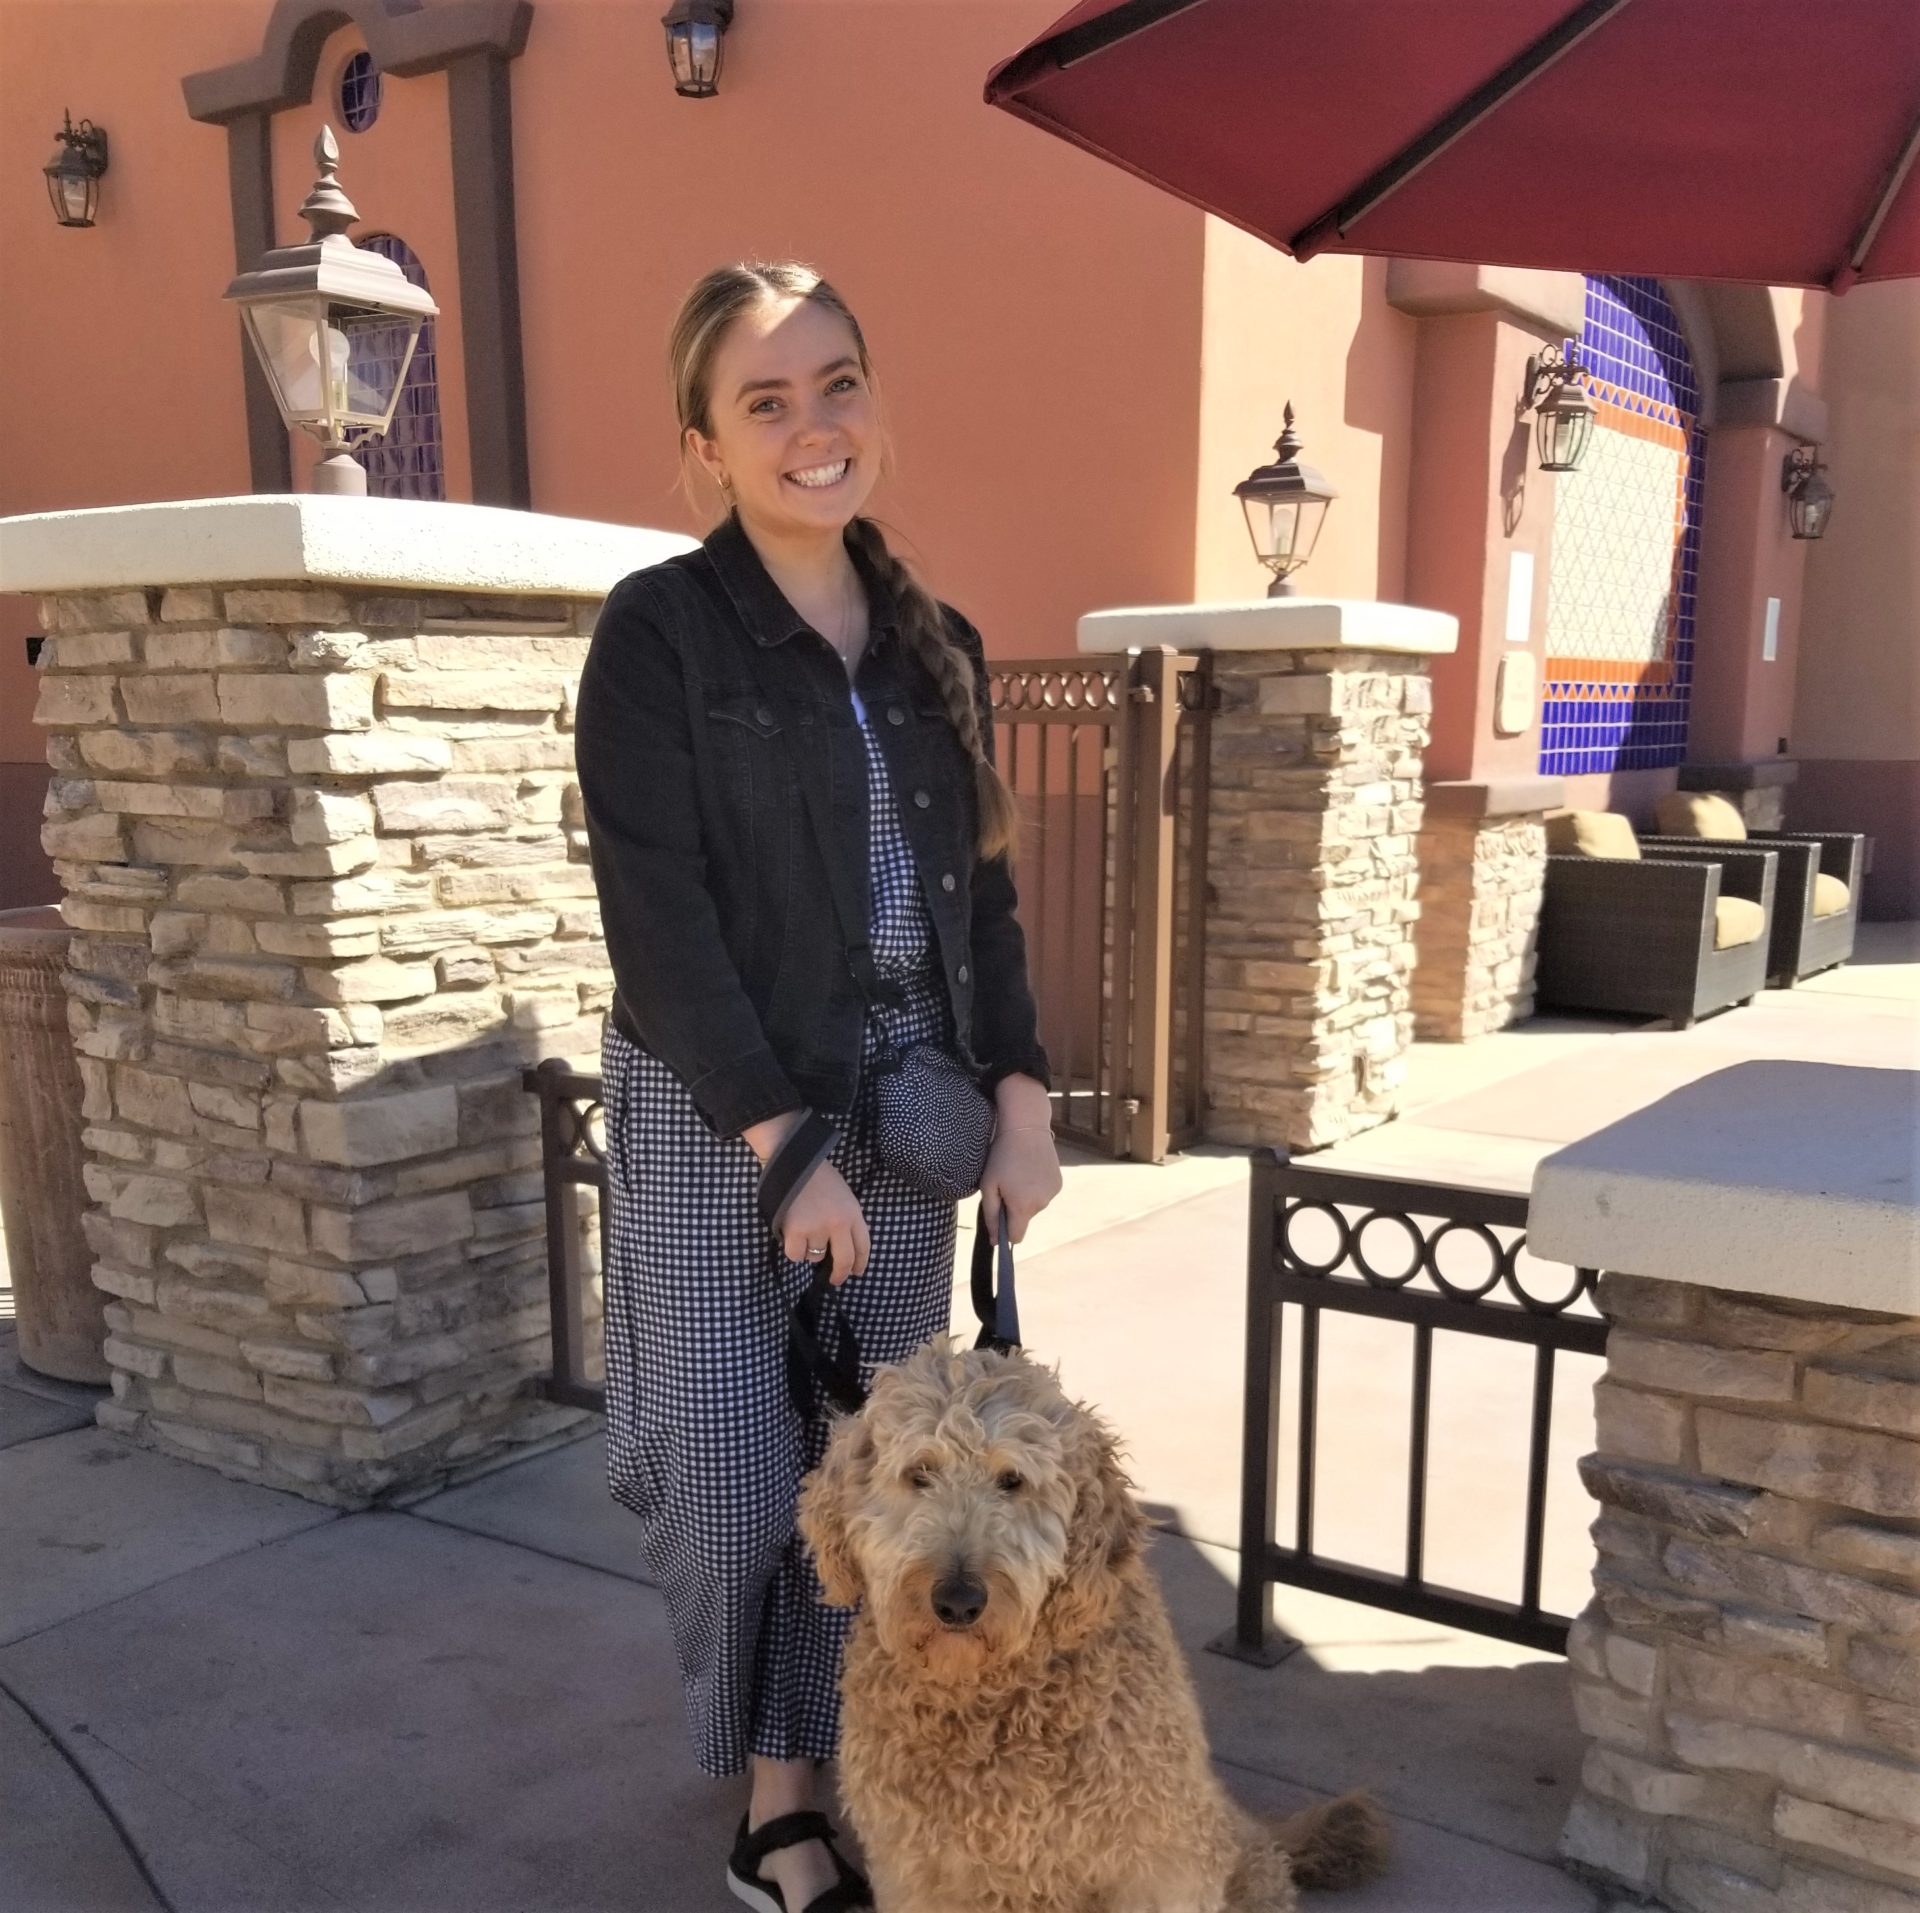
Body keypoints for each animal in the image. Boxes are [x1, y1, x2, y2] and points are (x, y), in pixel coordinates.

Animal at [787, 1344, 1390, 1913]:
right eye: (919, 1473)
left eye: (1012, 1480)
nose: (958, 1602)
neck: (990, 1702)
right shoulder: (919, 1873)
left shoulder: (1156, 1864)